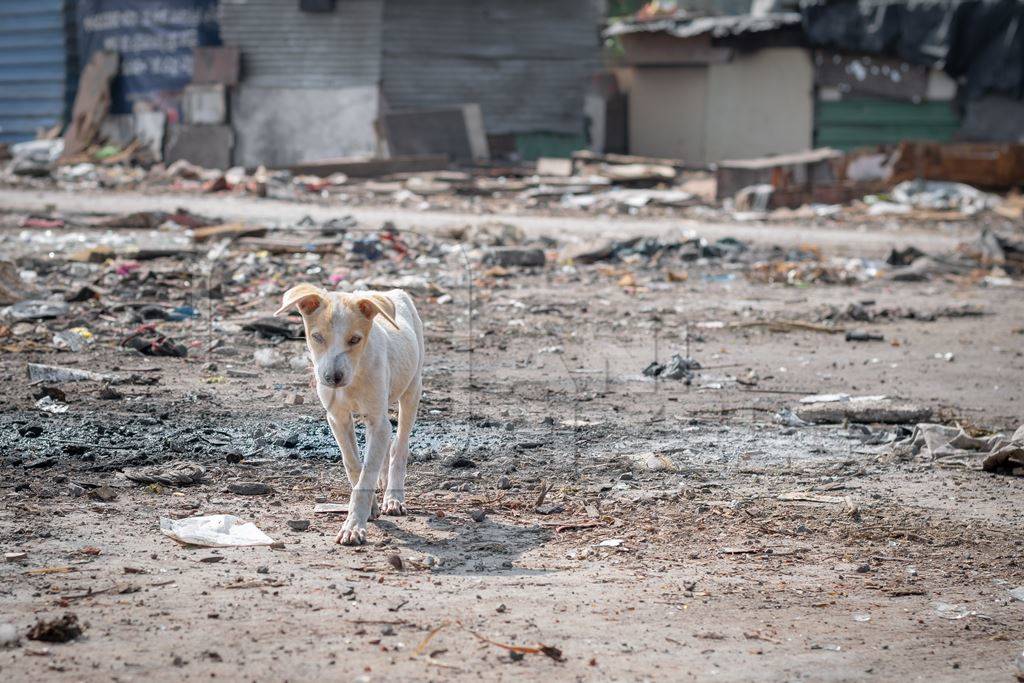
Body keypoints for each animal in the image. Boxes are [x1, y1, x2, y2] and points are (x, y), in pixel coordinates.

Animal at [272, 286, 423, 548]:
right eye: (317, 337)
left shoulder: (377, 420)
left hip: (412, 390)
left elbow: (366, 473)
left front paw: (354, 527)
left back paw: (393, 497)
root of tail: (392, 291)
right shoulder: (338, 418)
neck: (355, 376)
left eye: (354, 340)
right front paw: (370, 507)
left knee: (399, 445)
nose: (333, 378)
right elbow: (353, 464)